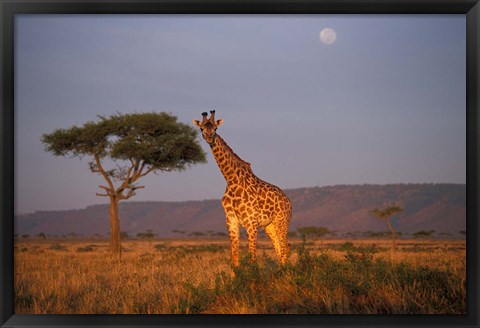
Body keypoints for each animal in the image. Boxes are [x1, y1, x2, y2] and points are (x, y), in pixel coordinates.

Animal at [192, 111, 292, 266]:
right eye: (202, 128)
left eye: (215, 128)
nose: (209, 137)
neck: (232, 180)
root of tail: (288, 201)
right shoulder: (231, 221)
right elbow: (235, 258)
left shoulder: (251, 222)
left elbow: (252, 258)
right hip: (269, 225)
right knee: (279, 248)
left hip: (281, 220)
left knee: (285, 248)